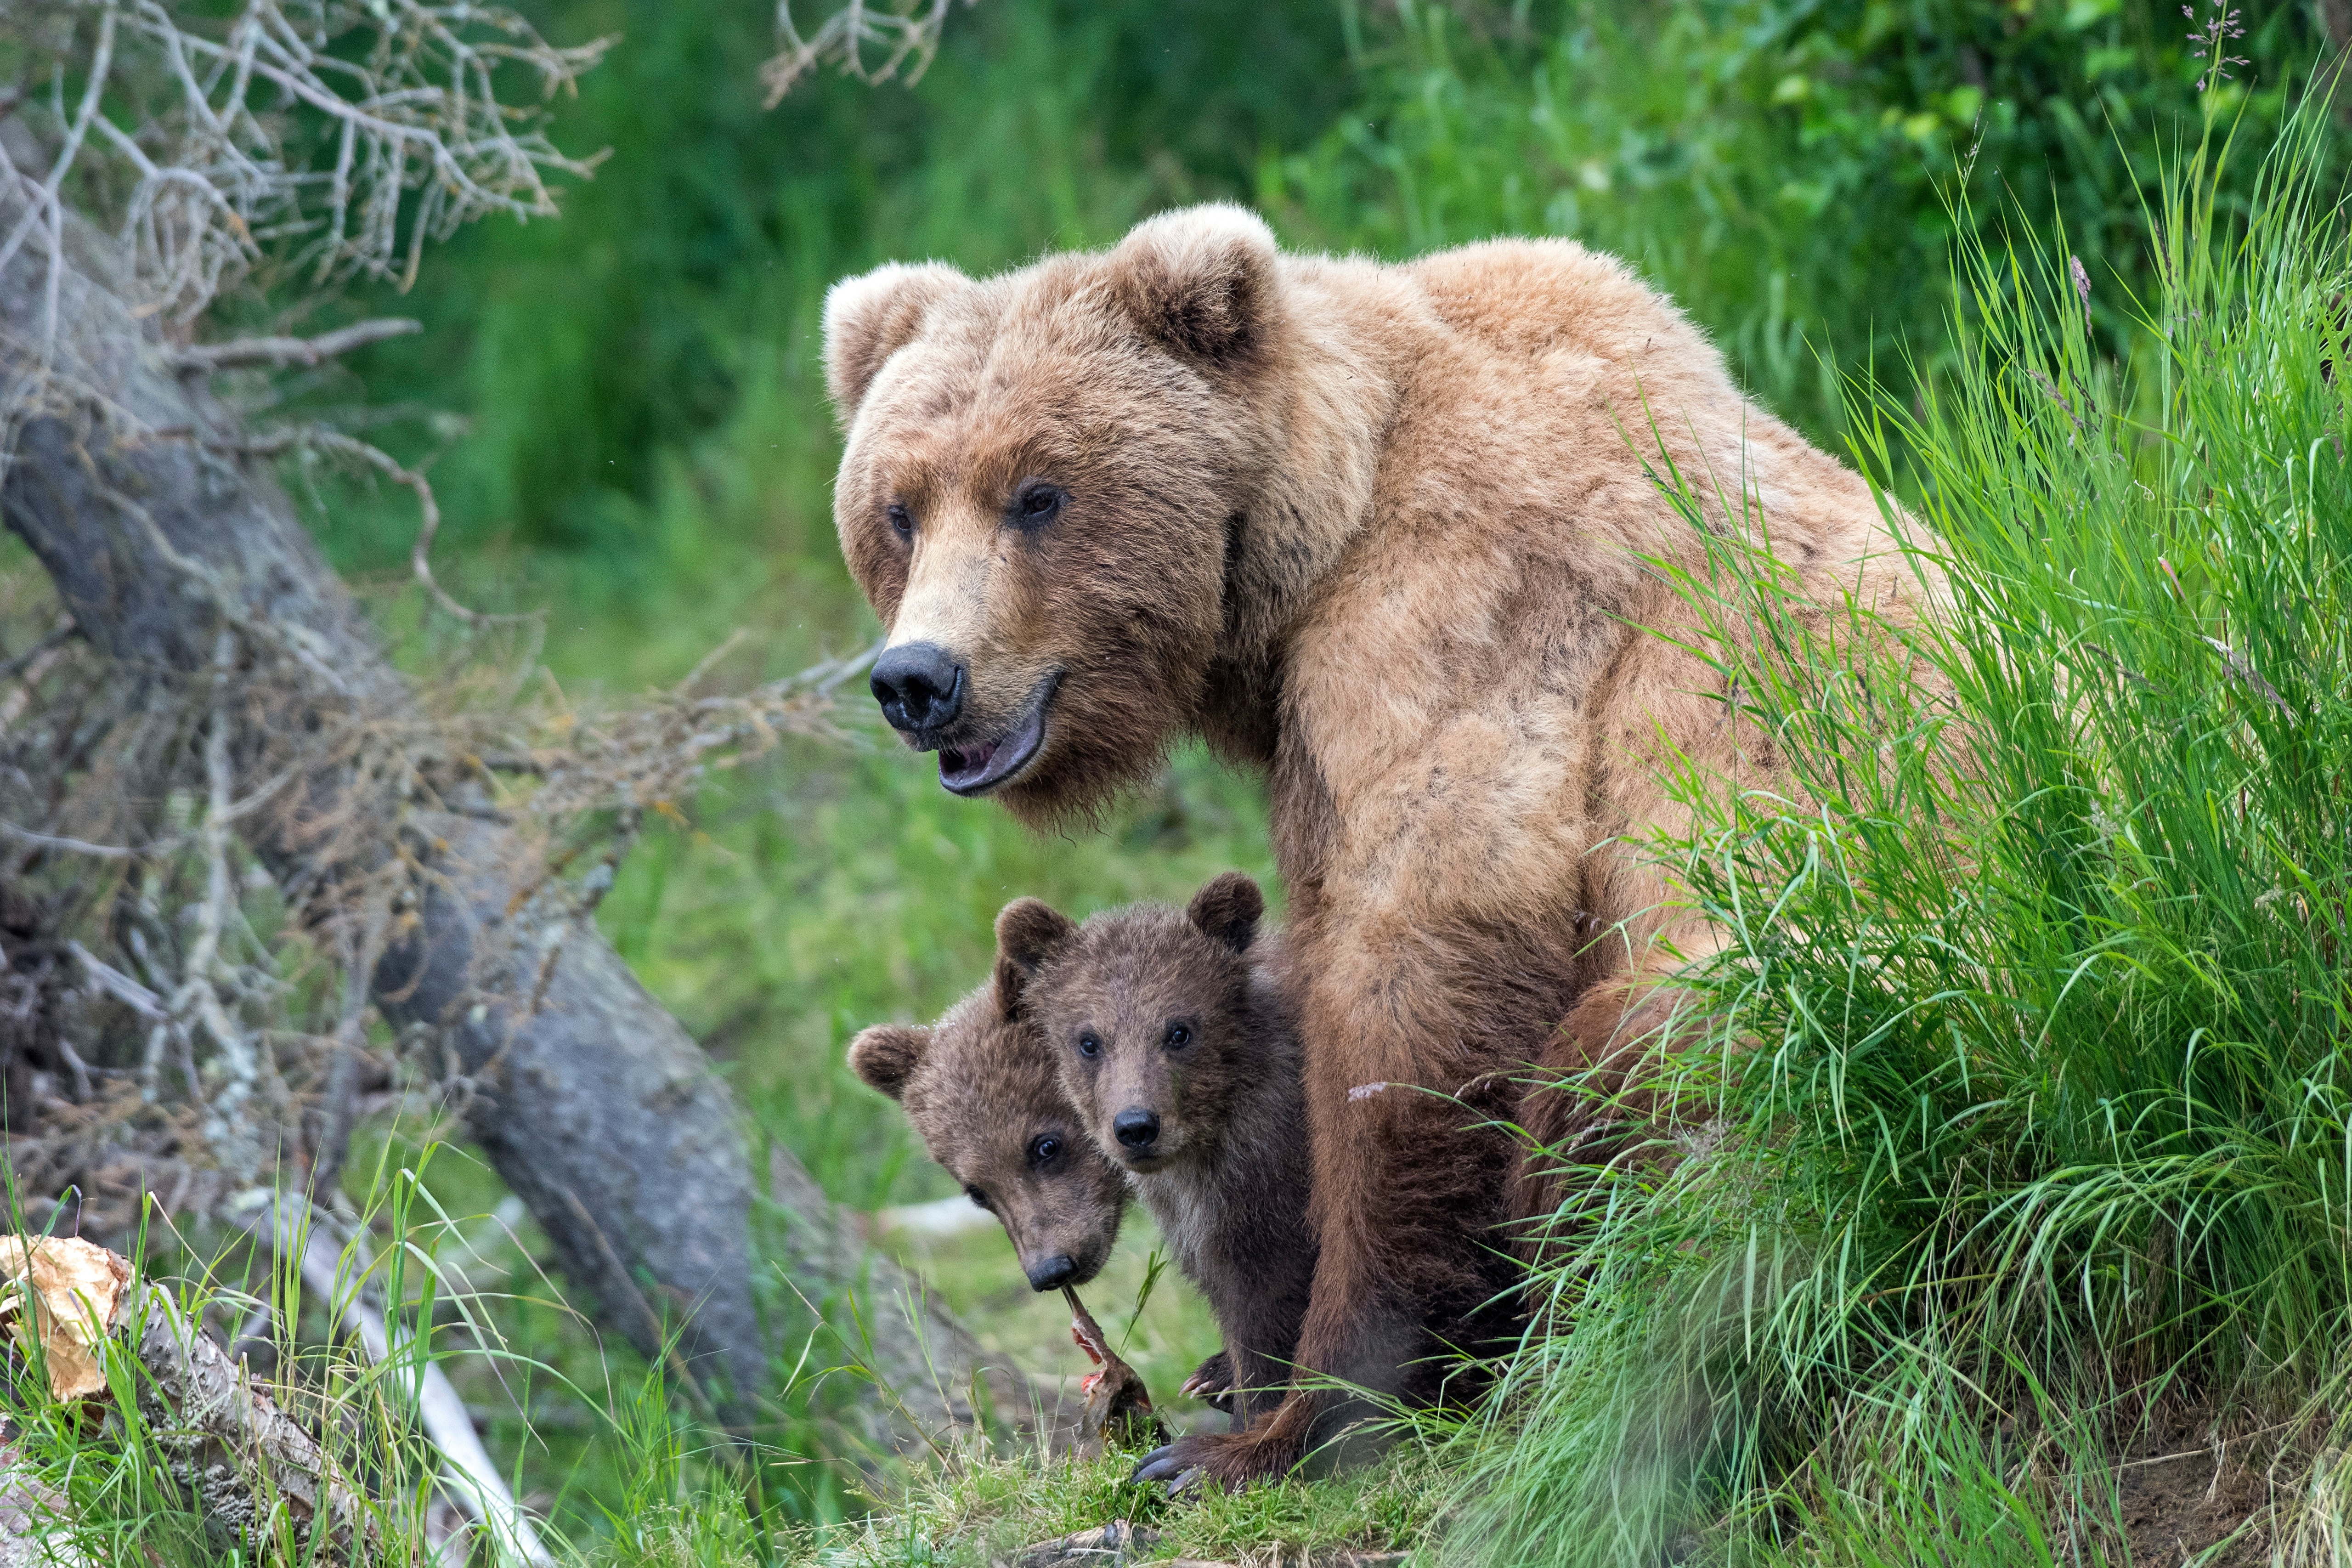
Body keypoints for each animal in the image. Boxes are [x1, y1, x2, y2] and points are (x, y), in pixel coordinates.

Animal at [818, 205, 1919, 1485]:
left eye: (1036, 493)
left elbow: (1419, 956)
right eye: (900, 507)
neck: (1320, 525)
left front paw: (1288, 1417)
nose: (917, 679)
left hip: (1830, 1020)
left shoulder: (1441, 614)